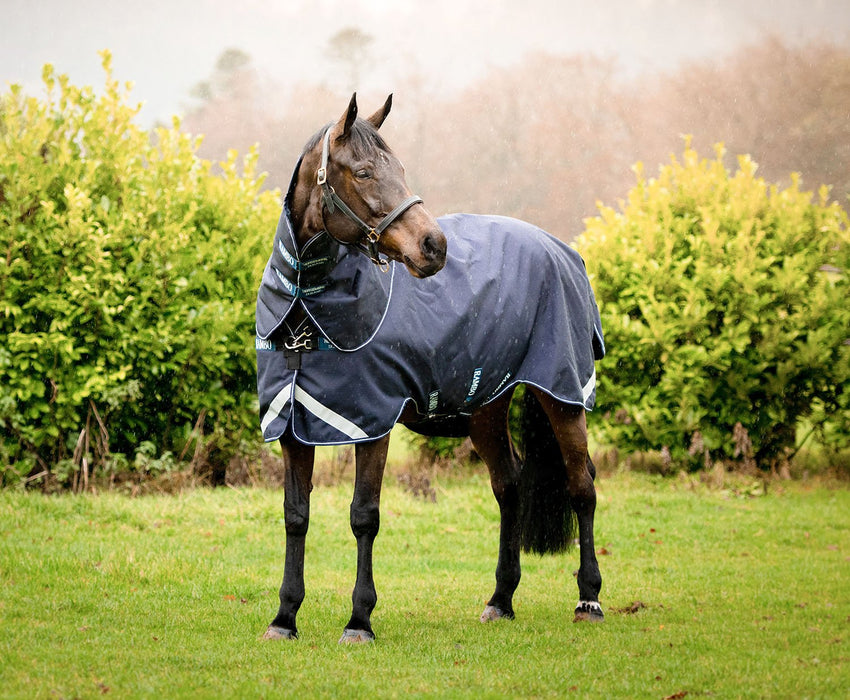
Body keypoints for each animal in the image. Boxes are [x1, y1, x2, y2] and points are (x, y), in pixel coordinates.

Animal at [255, 94, 606, 643]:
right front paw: (284, 617)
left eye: (399, 169)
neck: (306, 316)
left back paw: (589, 598)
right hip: (488, 409)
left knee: (581, 486)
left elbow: (364, 516)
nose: (433, 247)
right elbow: (296, 516)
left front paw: (359, 620)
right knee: (509, 486)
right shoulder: (293, 426)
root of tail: (563, 250)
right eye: (363, 172)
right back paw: (500, 599)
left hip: (561, 394)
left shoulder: (372, 422)